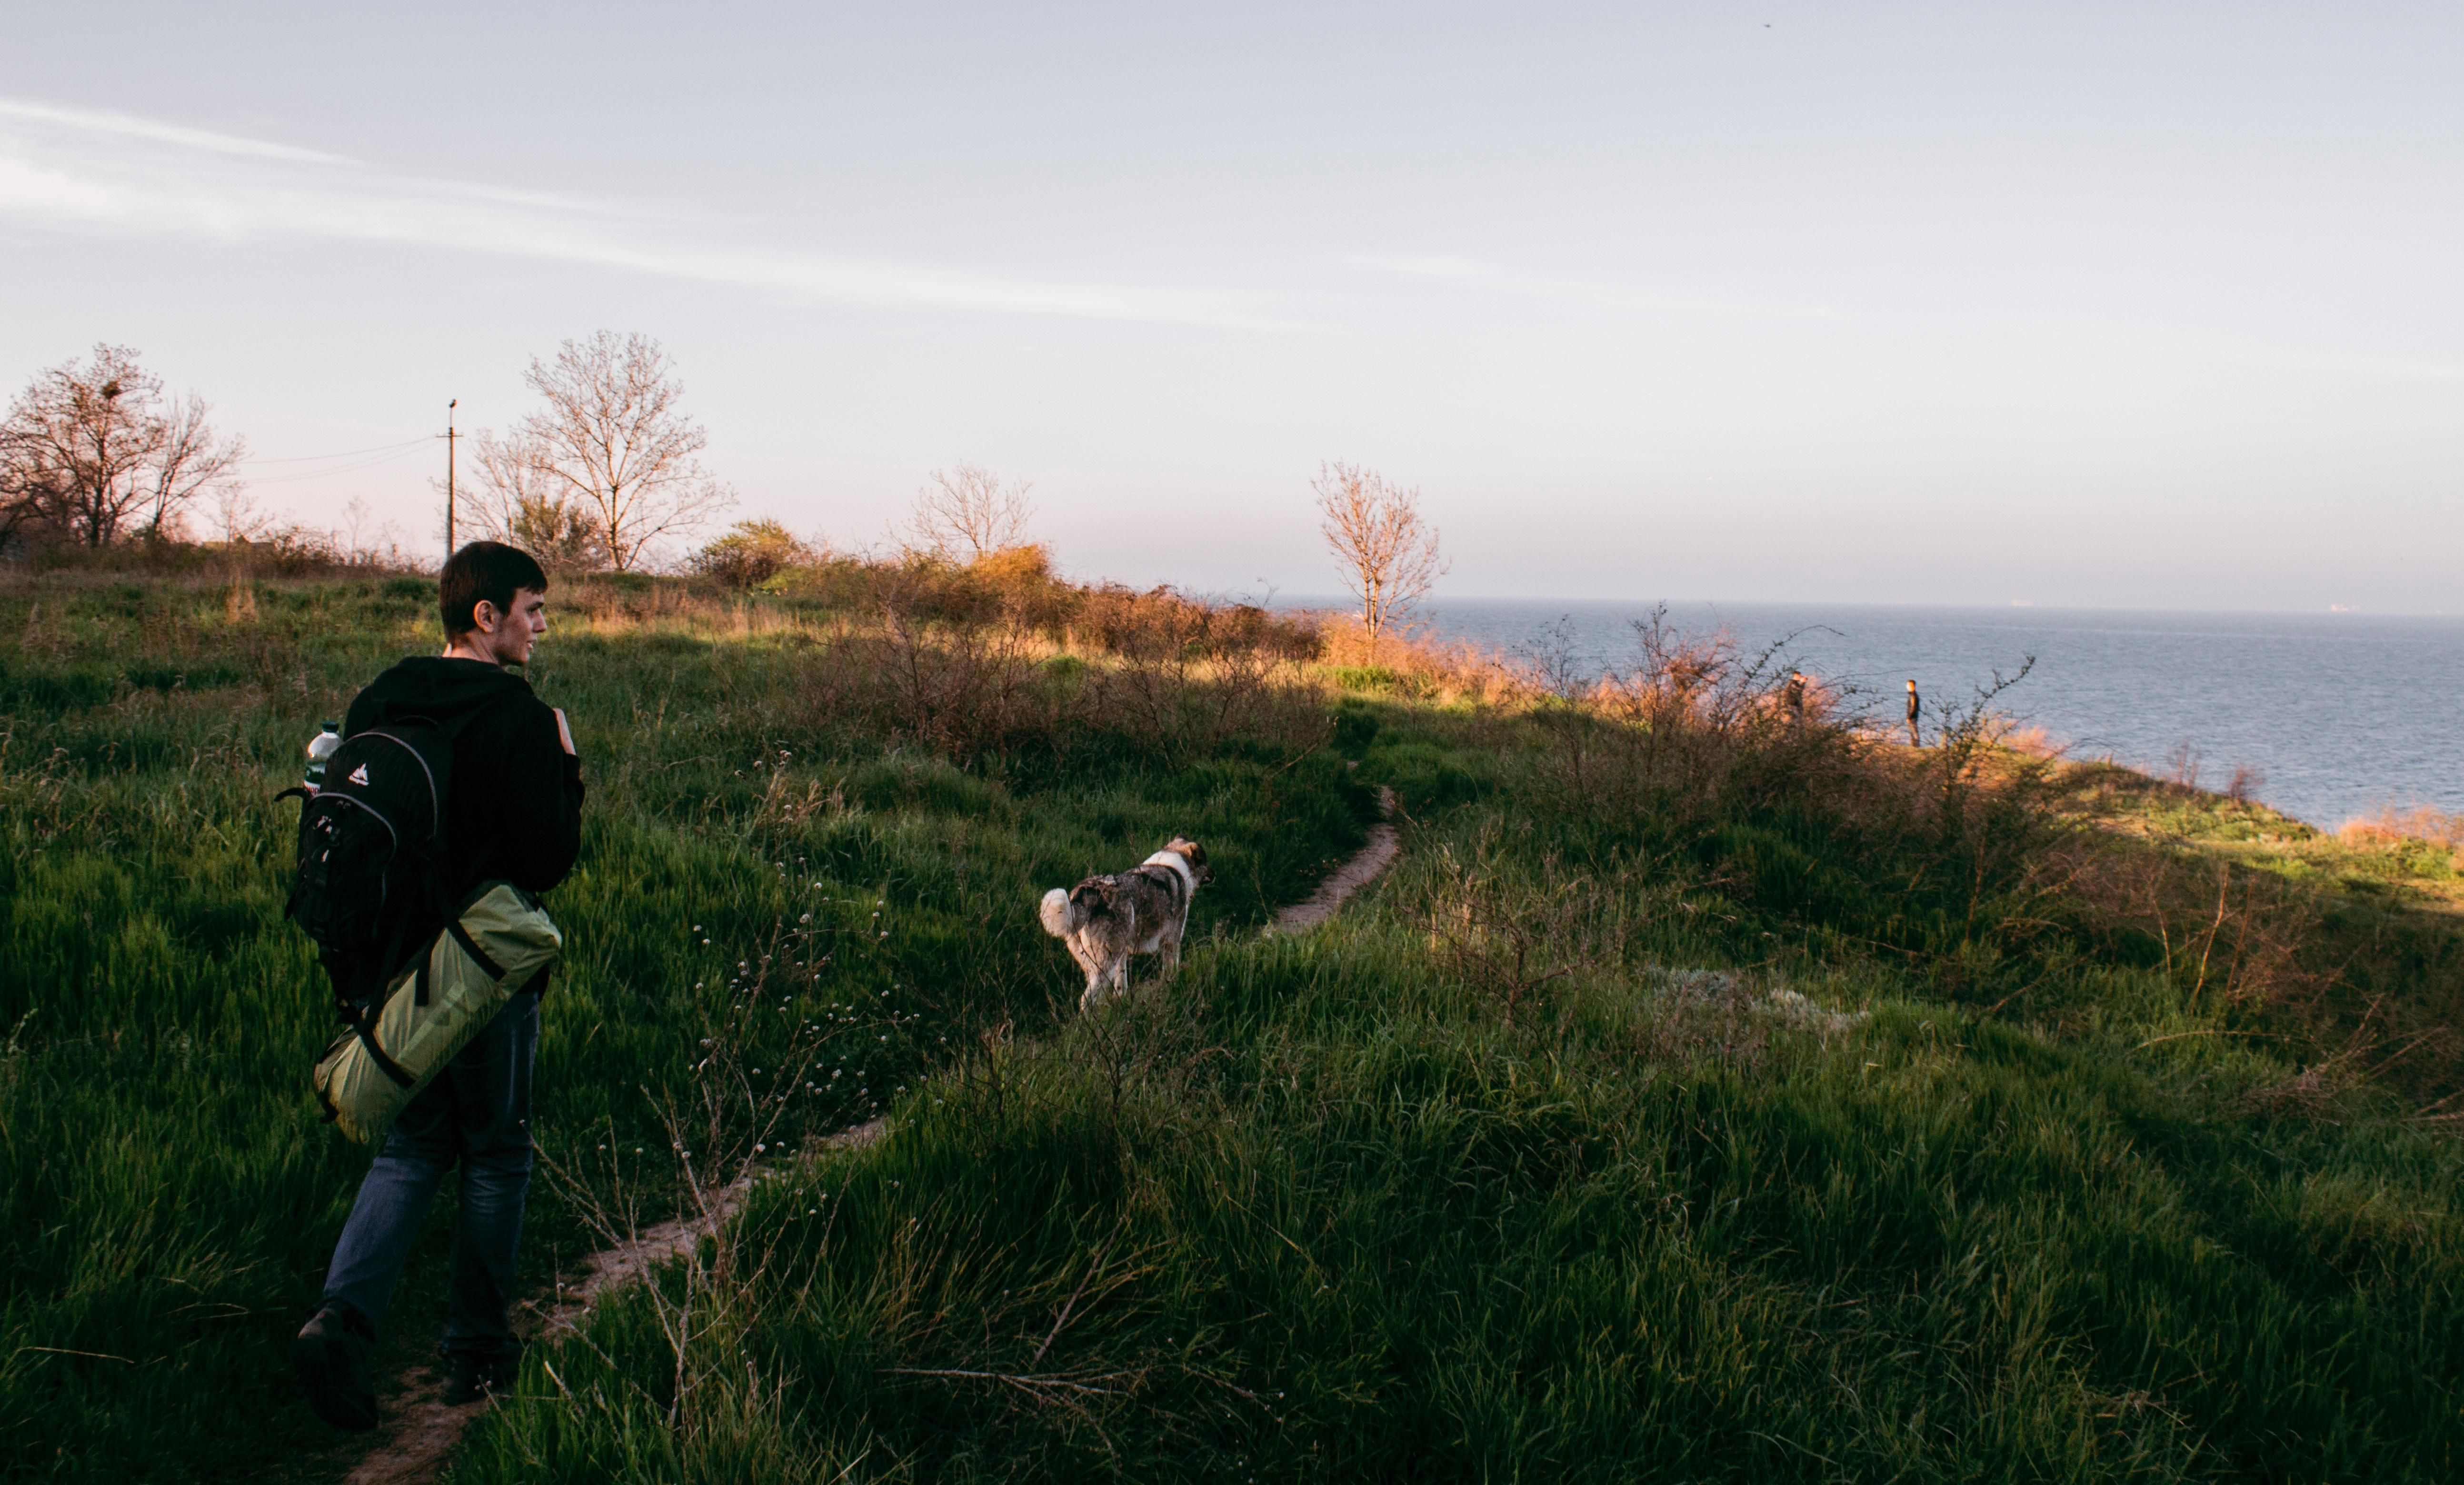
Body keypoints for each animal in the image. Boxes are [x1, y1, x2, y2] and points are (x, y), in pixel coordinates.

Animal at [1039, 837, 1212, 1009]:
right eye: (1205, 861)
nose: (1215, 874)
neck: (1175, 865)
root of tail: (1088, 891)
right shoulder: (1172, 942)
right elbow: (1171, 972)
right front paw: (1172, 990)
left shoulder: (1124, 952)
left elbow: (1121, 985)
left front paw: (1121, 1002)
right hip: (1106, 962)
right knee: (1087, 999)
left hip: (1096, 961)